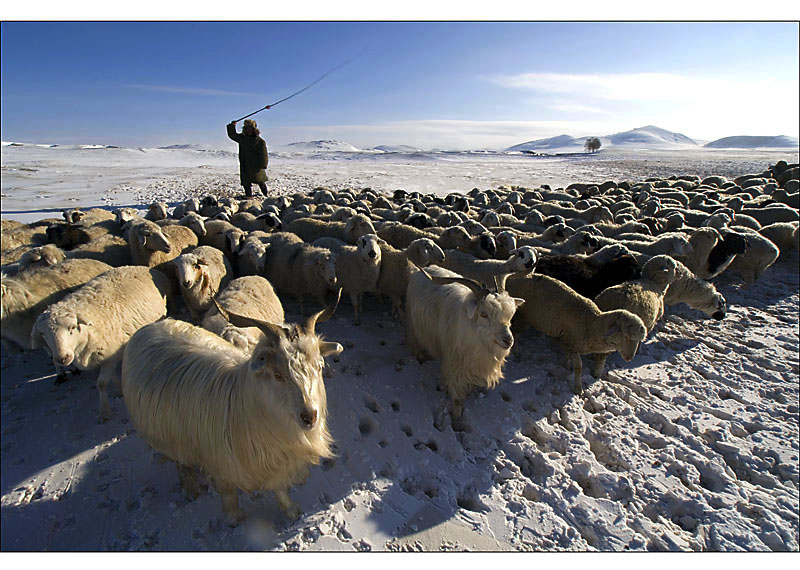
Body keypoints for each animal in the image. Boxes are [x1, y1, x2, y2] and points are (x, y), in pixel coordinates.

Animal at [31, 264, 170, 420]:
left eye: (72, 327)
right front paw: (118, 390)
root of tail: (141, 267)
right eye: (43, 334)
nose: (62, 358)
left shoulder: (111, 354)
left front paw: (104, 412)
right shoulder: (106, 355)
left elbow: (102, 383)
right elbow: (111, 376)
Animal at [122, 302, 344, 524]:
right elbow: (228, 492)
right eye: (277, 374)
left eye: (319, 367)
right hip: (166, 434)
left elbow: (279, 486)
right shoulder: (220, 461)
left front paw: (289, 509)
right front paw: (233, 518)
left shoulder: (275, 458)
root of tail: (149, 328)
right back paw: (191, 487)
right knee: (180, 461)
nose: (310, 416)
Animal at [406, 266, 524, 426]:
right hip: (413, 325)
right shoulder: (456, 367)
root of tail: (423, 269)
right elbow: (457, 399)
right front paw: (456, 422)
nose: (508, 340)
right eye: (483, 314)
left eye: (510, 315)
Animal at [506, 272, 648, 392]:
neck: (592, 324)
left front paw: (567, 367)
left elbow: (569, 358)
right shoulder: (572, 345)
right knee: (515, 333)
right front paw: (578, 389)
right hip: (524, 317)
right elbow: (579, 368)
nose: (629, 359)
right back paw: (517, 353)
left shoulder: (567, 342)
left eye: (638, 340)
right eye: (626, 336)